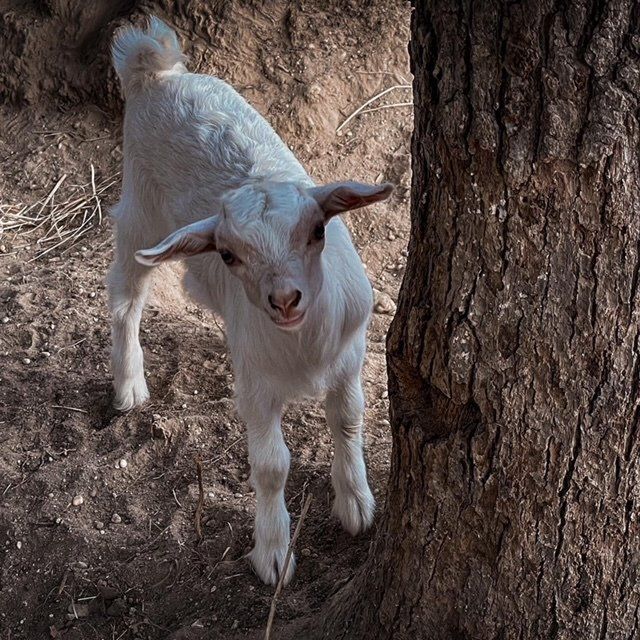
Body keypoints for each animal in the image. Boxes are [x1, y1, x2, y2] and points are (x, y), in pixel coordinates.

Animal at [108, 17, 393, 585]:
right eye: (228, 254)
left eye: (317, 230)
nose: (284, 299)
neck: (304, 348)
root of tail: (156, 72)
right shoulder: (257, 385)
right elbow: (271, 465)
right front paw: (274, 554)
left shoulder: (351, 356)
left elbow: (349, 419)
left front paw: (356, 504)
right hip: (140, 209)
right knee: (125, 298)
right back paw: (128, 383)